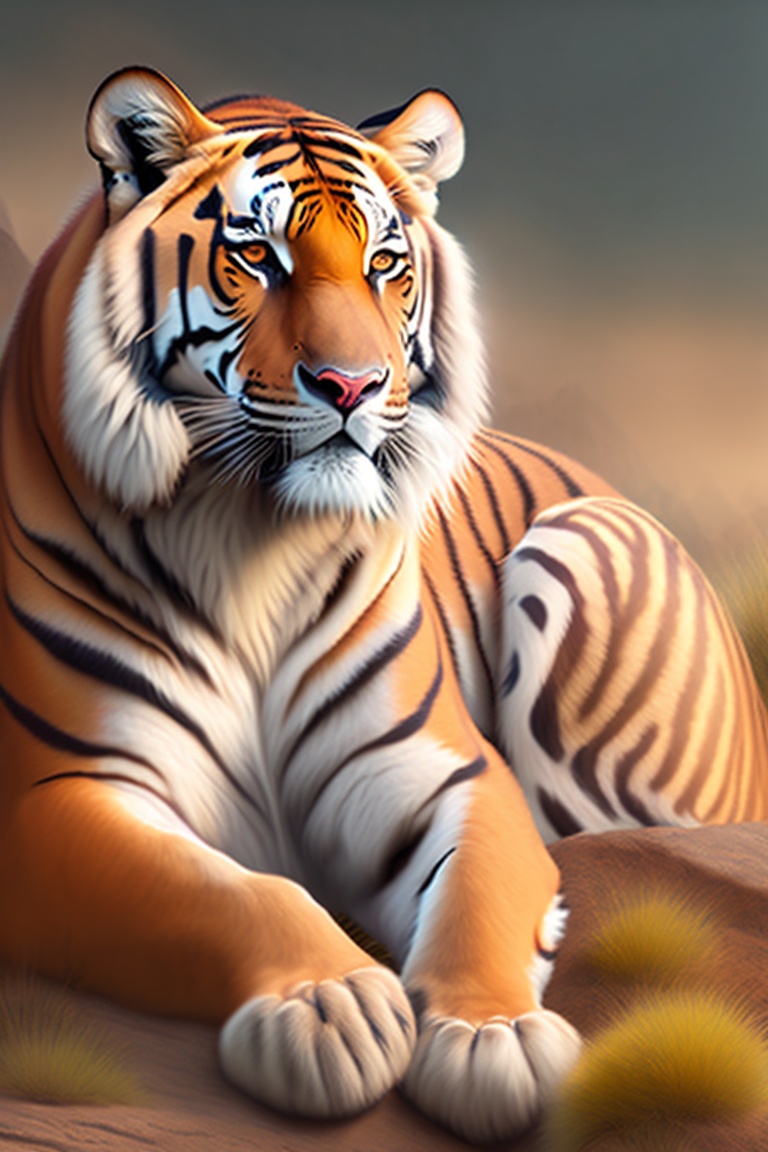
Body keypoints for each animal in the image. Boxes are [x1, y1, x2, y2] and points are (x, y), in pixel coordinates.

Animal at [1, 65, 767, 1145]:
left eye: (384, 263)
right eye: (257, 257)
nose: (353, 385)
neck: (249, 538)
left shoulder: (444, 772)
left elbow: (481, 897)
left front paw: (492, 1035)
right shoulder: (57, 798)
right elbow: (229, 894)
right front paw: (328, 1006)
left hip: (576, 549)